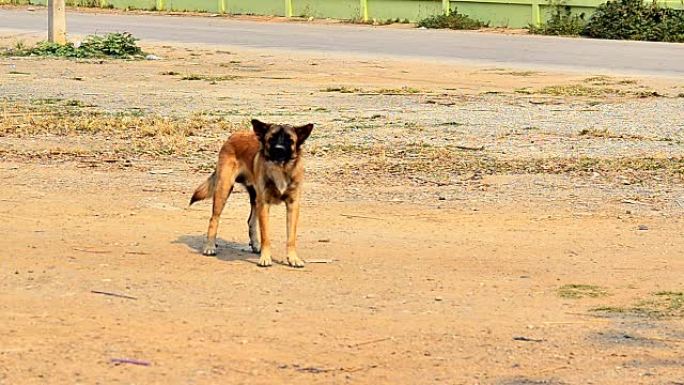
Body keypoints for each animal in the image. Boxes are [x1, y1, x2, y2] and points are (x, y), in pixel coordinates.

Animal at [188, 118, 314, 268]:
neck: (280, 168)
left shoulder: (292, 205)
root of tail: (233, 136)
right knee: (214, 218)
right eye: (271, 139)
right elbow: (266, 235)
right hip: (224, 189)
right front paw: (265, 258)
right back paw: (210, 246)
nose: (279, 149)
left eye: (289, 140)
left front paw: (293, 258)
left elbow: (291, 237)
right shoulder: (264, 204)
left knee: (250, 221)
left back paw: (255, 245)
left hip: (255, 199)